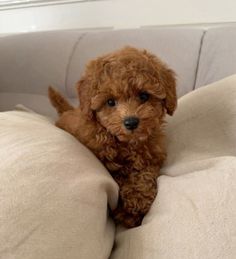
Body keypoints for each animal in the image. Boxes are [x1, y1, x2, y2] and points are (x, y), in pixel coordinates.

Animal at [48, 46, 177, 228]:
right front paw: (127, 211)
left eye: (144, 96)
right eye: (110, 102)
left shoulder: (153, 157)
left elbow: (144, 175)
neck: (127, 143)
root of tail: (66, 111)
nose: (131, 122)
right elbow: (119, 177)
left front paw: (137, 201)